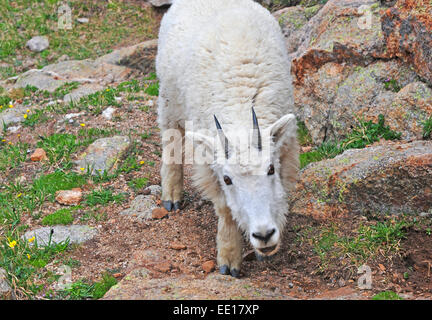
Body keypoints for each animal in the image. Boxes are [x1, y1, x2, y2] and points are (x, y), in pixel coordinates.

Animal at [156, 0, 300, 276]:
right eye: (227, 179)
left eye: (270, 169)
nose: (263, 234)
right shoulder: (208, 164)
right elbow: (225, 209)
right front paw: (229, 258)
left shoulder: (285, 149)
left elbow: (282, 192)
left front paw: (266, 246)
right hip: (169, 99)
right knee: (171, 143)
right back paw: (172, 195)